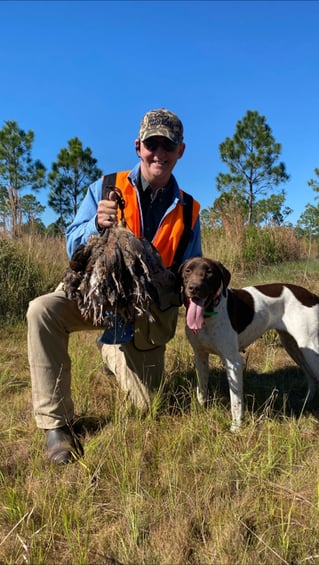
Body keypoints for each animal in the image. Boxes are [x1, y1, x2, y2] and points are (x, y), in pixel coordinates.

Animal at [180, 256, 319, 428]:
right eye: (188, 270)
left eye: (209, 272)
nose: (194, 288)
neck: (208, 314)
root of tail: (311, 295)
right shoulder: (200, 356)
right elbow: (202, 391)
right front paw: (201, 411)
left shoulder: (233, 361)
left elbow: (236, 401)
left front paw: (236, 427)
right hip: (294, 347)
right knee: (311, 377)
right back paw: (306, 401)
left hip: (309, 348)